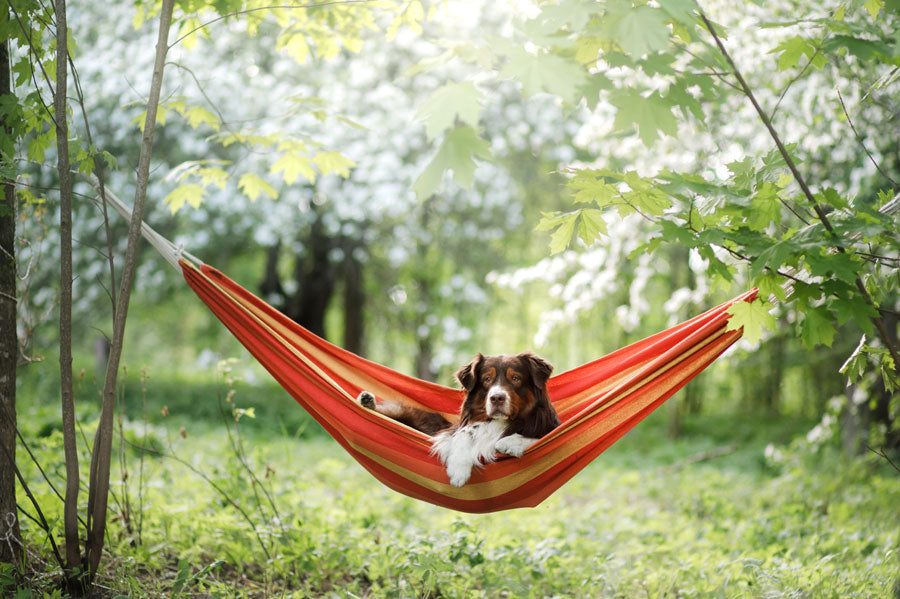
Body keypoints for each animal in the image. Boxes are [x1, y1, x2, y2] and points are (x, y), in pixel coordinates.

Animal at [356, 352, 560, 488]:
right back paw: (367, 401)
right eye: (487, 379)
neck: (498, 421)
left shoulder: (549, 427)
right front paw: (458, 471)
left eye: (516, 378)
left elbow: (536, 436)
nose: (496, 398)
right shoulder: (451, 431)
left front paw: (510, 442)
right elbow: (463, 436)